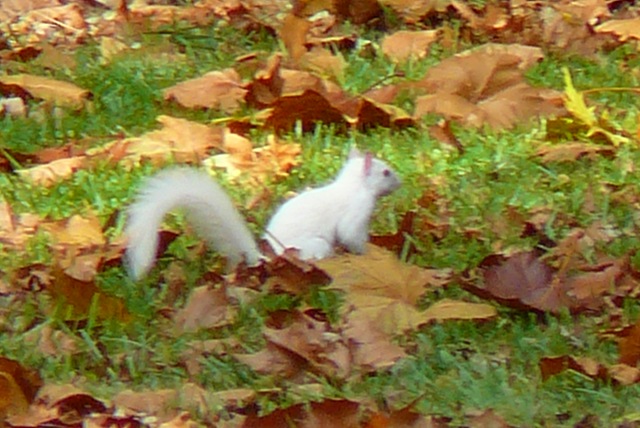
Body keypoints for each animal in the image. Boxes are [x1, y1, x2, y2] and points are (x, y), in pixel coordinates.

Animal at [124, 148, 401, 279]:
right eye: (385, 172)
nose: (400, 182)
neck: (354, 186)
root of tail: (267, 259)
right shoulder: (356, 211)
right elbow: (351, 234)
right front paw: (366, 254)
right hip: (314, 246)